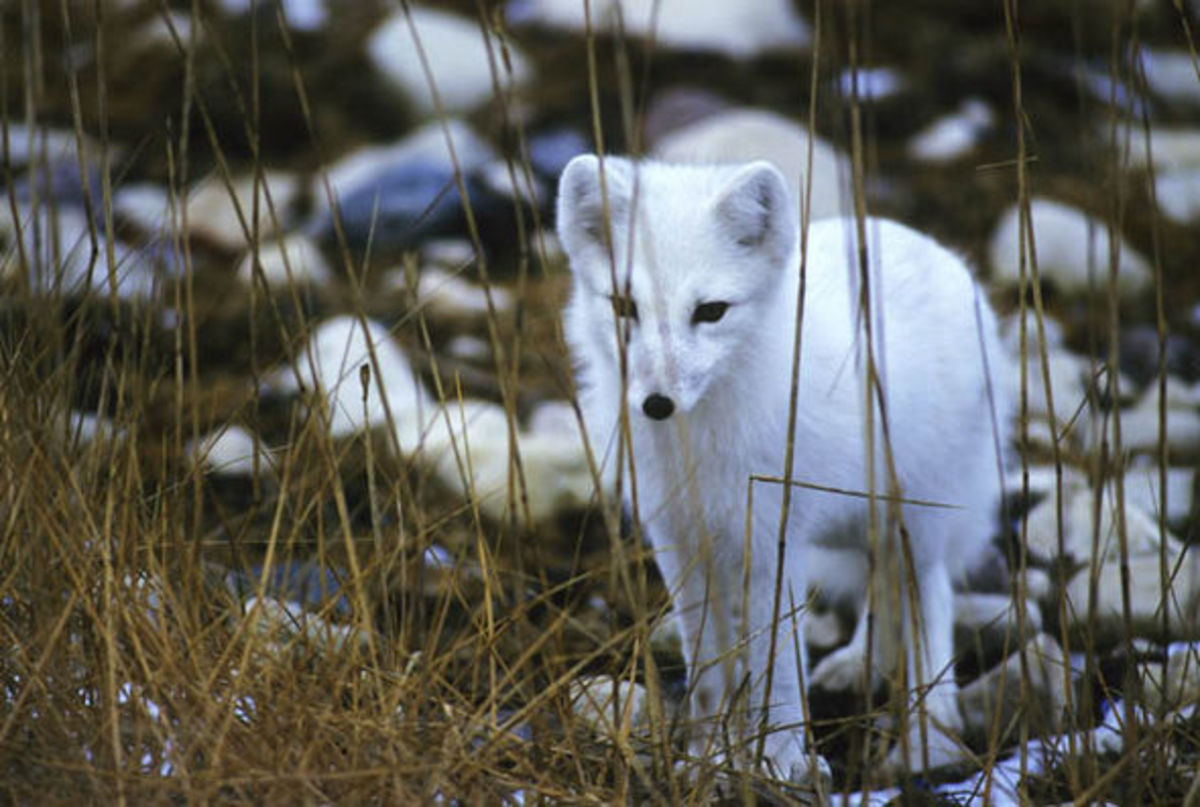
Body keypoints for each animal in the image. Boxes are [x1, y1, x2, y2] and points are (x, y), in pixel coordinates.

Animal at [556, 154, 1010, 784]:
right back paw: (861, 664)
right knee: (883, 586)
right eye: (624, 307)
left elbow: (777, 662)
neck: (700, 444)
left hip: (917, 513)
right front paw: (706, 751)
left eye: (711, 312)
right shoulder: (679, 537)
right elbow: (707, 657)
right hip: (861, 521)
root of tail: (935, 250)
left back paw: (929, 729)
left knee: (929, 595)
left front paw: (780, 759)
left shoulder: (774, 540)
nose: (656, 403)